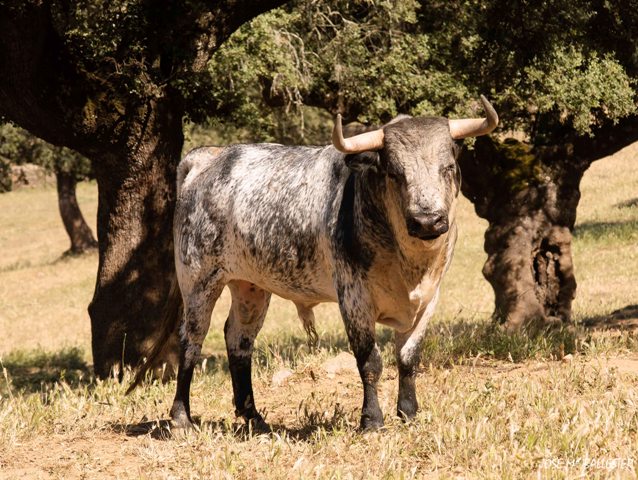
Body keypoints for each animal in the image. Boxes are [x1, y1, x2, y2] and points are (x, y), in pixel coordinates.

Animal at [130, 95, 500, 430]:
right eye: (395, 172)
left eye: (448, 168)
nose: (428, 221)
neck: (409, 263)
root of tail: (209, 157)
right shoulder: (354, 298)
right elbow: (370, 361)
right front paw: (372, 420)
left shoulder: (429, 299)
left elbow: (408, 358)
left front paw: (408, 414)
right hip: (199, 280)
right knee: (190, 340)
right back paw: (182, 418)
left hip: (251, 286)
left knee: (239, 340)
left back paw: (254, 418)